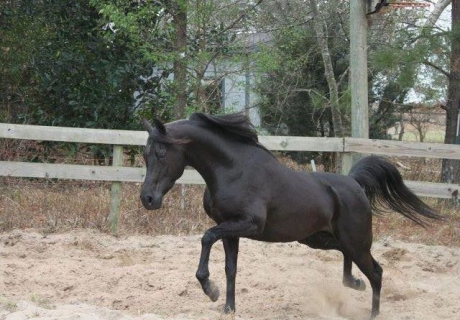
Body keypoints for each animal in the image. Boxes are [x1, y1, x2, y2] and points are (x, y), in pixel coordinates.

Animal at [140, 112, 442, 318]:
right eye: (144, 155)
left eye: (161, 152)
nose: (148, 199)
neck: (233, 170)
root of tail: (354, 182)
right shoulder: (230, 228)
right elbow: (230, 268)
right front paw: (228, 307)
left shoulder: (248, 224)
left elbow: (205, 238)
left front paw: (210, 289)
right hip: (320, 239)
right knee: (352, 264)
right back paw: (354, 283)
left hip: (356, 241)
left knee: (376, 272)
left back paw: (372, 312)